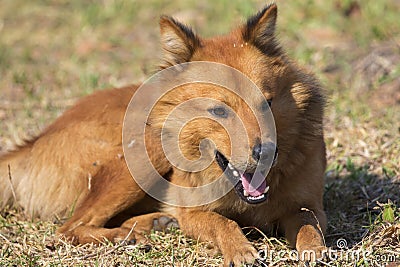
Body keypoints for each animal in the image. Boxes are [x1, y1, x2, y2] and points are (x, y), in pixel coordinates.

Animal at [0, 3, 324, 266]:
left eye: (266, 104)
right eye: (219, 111)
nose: (265, 152)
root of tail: (35, 140)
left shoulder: (309, 205)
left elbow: (310, 226)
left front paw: (315, 250)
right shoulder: (193, 213)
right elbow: (222, 223)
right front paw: (240, 250)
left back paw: (151, 223)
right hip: (145, 150)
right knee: (68, 228)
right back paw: (124, 236)